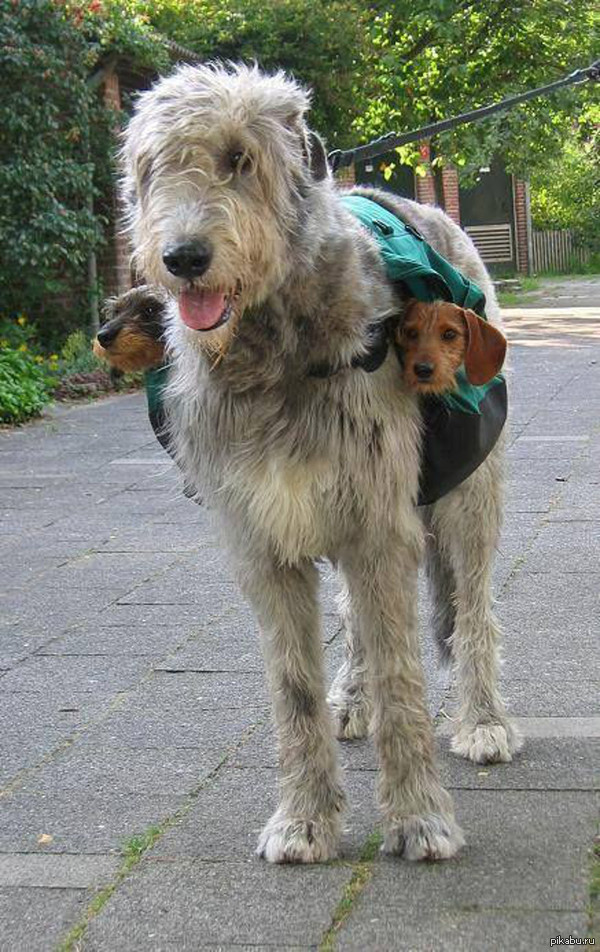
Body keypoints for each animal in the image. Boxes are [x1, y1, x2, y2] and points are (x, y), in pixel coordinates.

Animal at [122, 59, 520, 864]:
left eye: (240, 159)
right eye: (152, 169)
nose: (183, 259)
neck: (271, 355)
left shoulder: (378, 520)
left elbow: (403, 674)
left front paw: (419, 816)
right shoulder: (263, 539)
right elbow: (293, 687)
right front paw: (304, 819)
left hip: (468, 495)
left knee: (472, 610)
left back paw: (483, 720)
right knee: (358, 623)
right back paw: (352, 698)